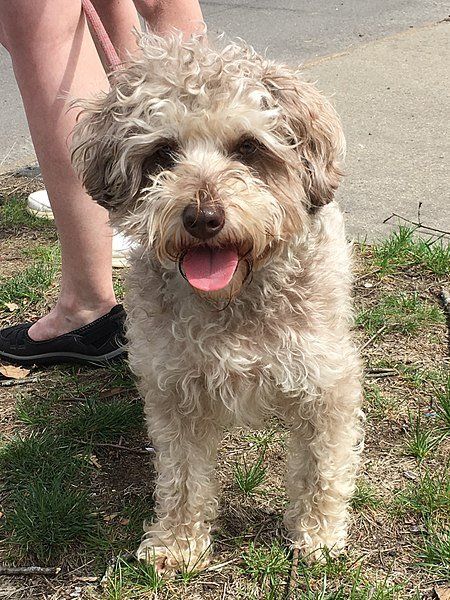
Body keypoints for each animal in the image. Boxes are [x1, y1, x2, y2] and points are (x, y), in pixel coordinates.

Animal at [72, 34, 364, 576]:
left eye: (248, 147)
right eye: (163, 153)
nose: (203, 218)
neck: (232, 302)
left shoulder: (326, 382)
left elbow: (322, 466)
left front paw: (317, 535)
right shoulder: (174, 389)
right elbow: (183, 475)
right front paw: (177, 543)